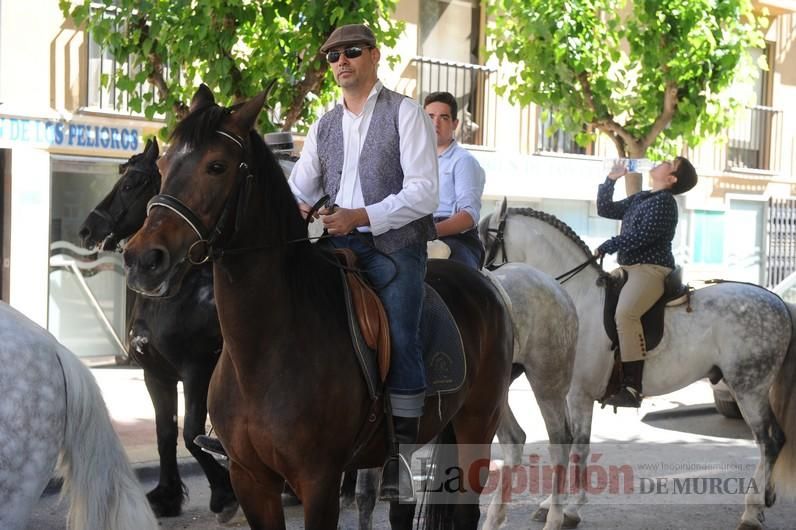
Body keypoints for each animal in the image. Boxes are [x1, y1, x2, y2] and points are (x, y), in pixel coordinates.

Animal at [79, 137, 238, 520]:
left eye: (131, 184)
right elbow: (165, 433)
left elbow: (192, 434)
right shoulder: (156, 374)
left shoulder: (197, 372)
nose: (88, 229)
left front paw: (223, 493)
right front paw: (167, 494)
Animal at [122, 84, 512, 524]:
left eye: (217, 166)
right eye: (164, 164)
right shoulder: (251, 479)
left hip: (477, 425)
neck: (264, 350)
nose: (143, 259)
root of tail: (485, 284)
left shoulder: (318, 480)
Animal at [342, 262, 580, 528]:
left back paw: (554, 517)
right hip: (494, 397)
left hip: (547, 383)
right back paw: (494, 518)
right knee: (514, 439)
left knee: (560, 440)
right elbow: (366, 495)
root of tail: (555, 286)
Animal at [478, 206, 796, 528]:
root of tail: (778, 301)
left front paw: (569, 510)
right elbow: (578, 444)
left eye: (485, 241)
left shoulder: (578, 394)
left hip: (749, 388)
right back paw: (764, 500)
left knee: (768, 442)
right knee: (776, 440)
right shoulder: (573, 394)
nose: (483, 278)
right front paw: (557, 505)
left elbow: (578, 446)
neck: (574, 296)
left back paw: (751, 511)